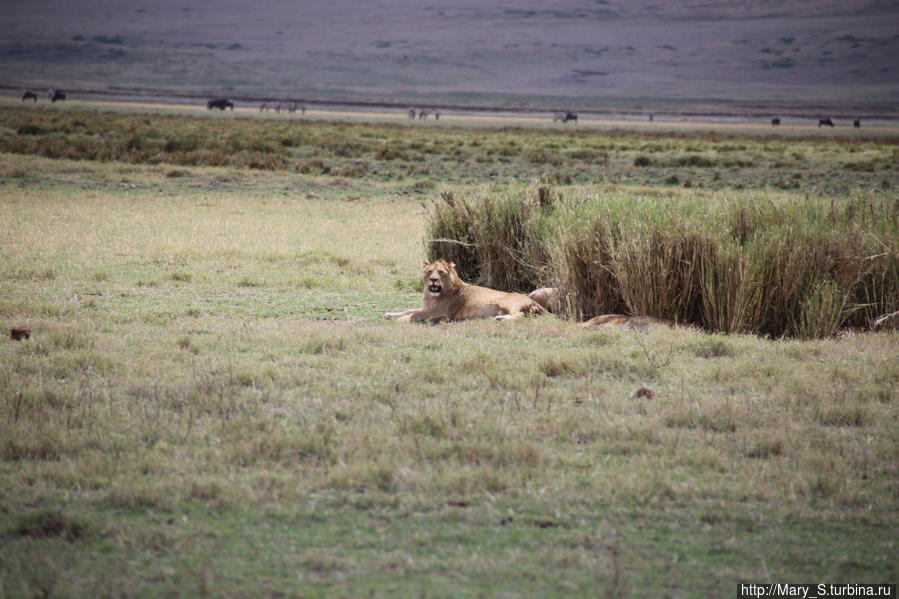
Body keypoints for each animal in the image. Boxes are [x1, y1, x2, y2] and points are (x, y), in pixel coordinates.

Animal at [384, 258, 544, 324]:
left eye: (441, 272)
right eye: (429, 272)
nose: (434, 280)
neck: (432, 296)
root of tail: (531, 299)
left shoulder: (443, 313)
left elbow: (416, 314)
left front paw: (401, 319)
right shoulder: (428, 307)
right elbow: (409, 310)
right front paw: (390, 314)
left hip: (506, 302)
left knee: (519, 315)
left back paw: (500, 319)